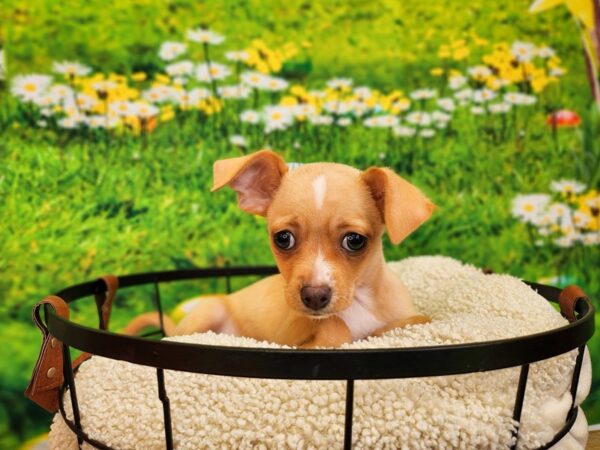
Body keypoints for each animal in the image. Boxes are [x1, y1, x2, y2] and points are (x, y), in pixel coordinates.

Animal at [124, 149, 434, 348]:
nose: (314, 296)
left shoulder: (407, 318)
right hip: (207, 313)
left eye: (355, 240)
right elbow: (336, 327)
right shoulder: (288, 337)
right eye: (283, 238)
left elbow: (418, 318)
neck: (359, 304)